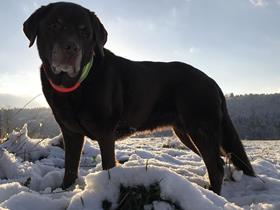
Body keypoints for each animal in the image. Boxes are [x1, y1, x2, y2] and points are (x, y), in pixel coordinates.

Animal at [24, 2, 255, 195]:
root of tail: (212, 81)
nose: (71, 48)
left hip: (200, 127)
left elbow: (108, 165)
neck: (75, 84)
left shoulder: (105, 132)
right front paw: (63, 191)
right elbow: (70, 168)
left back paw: (213, 195)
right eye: (55, 25)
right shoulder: (70, 132)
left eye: (85, 31)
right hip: (186, 131)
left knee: (216, 166)